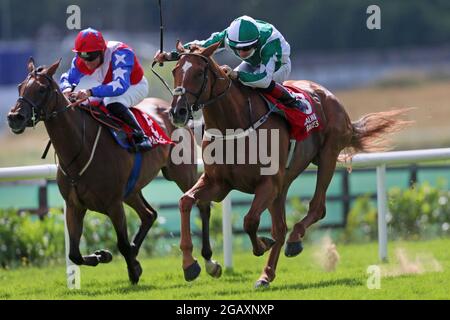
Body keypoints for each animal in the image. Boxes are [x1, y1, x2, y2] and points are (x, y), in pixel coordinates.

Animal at [6, 58, 218, 284]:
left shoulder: (114, 204)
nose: (14, 117)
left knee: (201, 205)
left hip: (181, 174)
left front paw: (133, 270)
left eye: (42, 89)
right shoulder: (74, 205)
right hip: (131, 189)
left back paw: (208, 261)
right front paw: (104, 255)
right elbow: (74, 254)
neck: (80, 149)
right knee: (149, 215)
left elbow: (122, 244)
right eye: (20, 87)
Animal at [168, 41, 408, 288]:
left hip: (327, 156)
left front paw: (262, 244)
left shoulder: (268, 183)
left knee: (315, 209)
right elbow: (186, 201)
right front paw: (190, 264)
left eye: (198, 73)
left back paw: (293, 241)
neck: (234, 125)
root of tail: (329, 96)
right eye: (175, 71)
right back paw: (266, 275)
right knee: (281, 227)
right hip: (284, 184)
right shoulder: (218, 183)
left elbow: (250, 221)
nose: (178, 111)